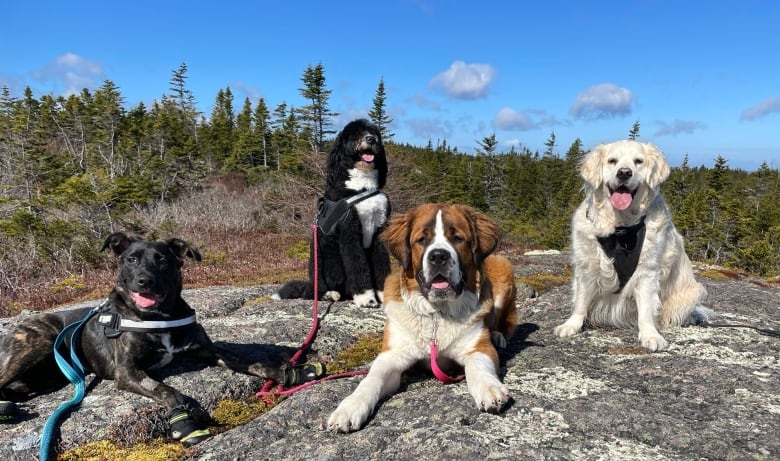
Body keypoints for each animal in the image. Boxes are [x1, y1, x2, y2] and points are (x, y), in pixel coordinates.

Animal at [0, 234, 286, 446]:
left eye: (163, 260)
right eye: (131, 259)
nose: (144, 281)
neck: (156, 316)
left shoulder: (207, 349)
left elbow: (247, 361)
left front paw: (284, 372)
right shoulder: (127, 372)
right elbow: (167, 390)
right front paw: (183, 422)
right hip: (37, 343)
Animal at [278, 118, 394, 308]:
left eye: (374, 133)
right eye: (354, 135)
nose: (371, 139)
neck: (362, 186)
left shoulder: (379, 230)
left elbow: (382, 264)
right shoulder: (350, 231)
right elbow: (357, 266)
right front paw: (366, 299)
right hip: (328, 266)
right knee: (314, 292)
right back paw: (330, 294)